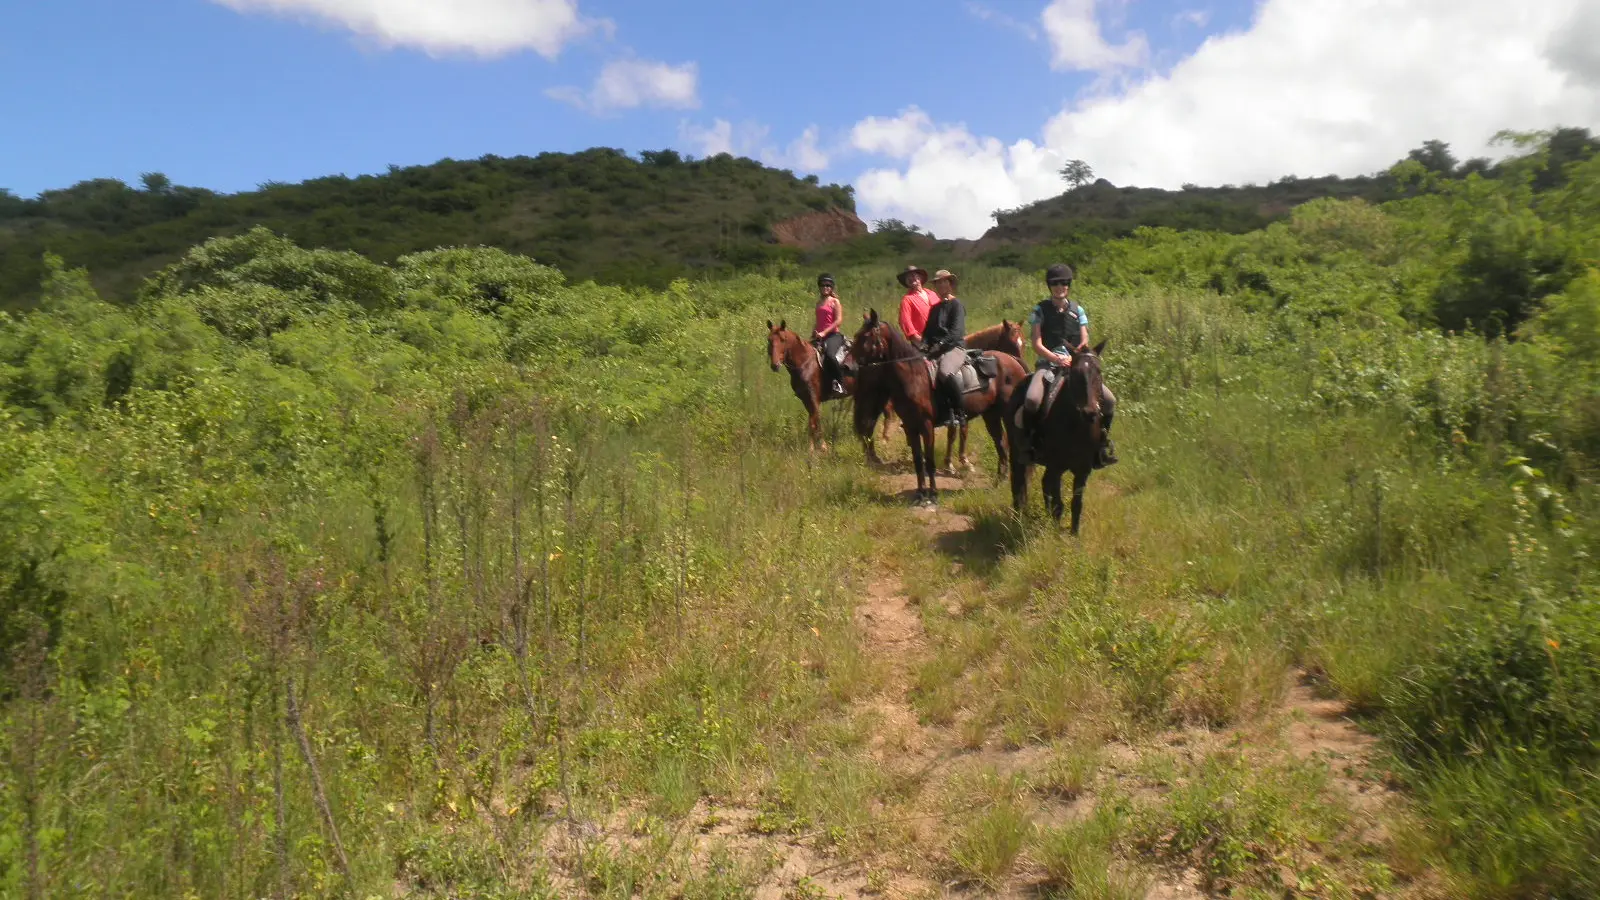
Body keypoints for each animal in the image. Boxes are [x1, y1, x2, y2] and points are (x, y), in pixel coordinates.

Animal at [851, 312, 934, 499]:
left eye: (865, 336)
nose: (847, 365)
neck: (915, 376)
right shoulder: (915, 423)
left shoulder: (925, 423)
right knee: (867, 426)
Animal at [1004, 337, 1107, 531]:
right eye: (1076, 373)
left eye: (1098, 371)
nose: (1090, 413)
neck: (1076, 426)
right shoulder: (1056, 466)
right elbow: (1059, 504)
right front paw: (1056, 533)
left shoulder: (1083, 470)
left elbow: (1076, 504)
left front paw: (1074, 534)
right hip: (1017, 451)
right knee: (1018, 483)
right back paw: (1018, 518)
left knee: (1044, 484)